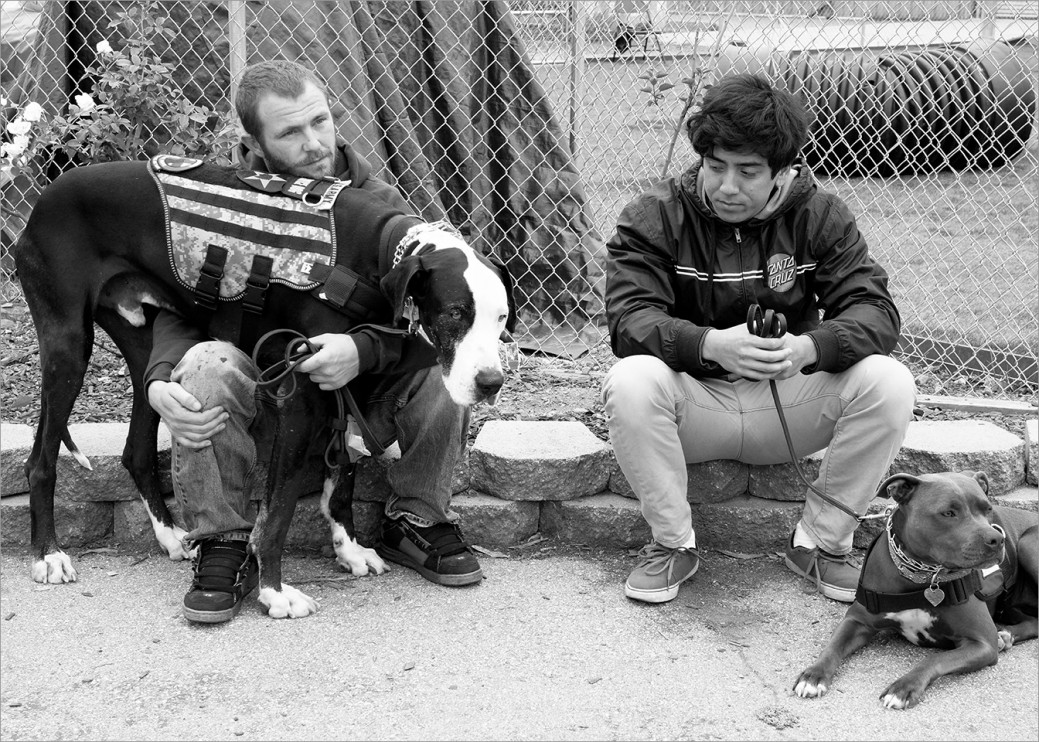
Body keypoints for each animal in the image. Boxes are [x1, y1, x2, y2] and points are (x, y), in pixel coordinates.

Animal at [789, 471, 1034, 706]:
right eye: (948, 513)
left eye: (988, 508)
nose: (997, 539)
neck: (921, 576)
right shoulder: (857, 620)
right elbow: (832, 646)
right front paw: (813, 675)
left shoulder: (983, 642)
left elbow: (934, 658)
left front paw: (903, 687)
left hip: (1028, 544)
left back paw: (1006, 634)